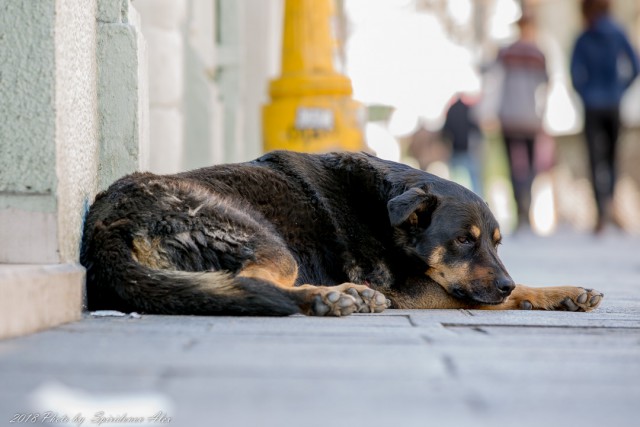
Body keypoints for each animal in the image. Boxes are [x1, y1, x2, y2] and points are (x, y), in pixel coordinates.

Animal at [81, 152, 604, 316]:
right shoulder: (413, 292)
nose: (503, 282)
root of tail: (104, 223)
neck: (383, 207)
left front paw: (564, 294)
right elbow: (496, 298)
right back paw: (331, 297)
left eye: (496, 243)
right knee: (253, 283)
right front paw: (546, 293)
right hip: (265, 240)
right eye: (463, 240)